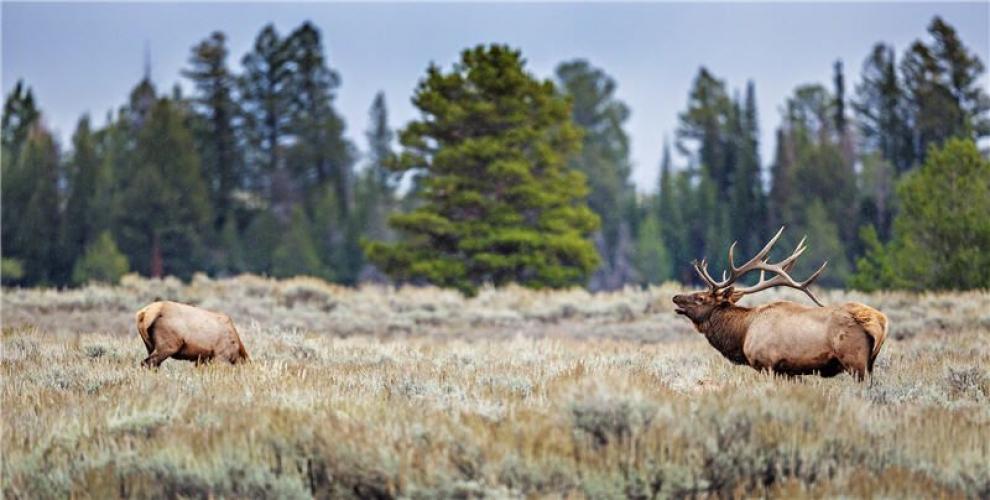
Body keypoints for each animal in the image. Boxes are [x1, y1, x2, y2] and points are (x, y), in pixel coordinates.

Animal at [672, 227, 887, 381]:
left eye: (701, 298)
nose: (675, 297)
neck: (742, 333)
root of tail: (880, 323)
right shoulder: (788, 372)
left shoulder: (766, 363)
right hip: (870, 363)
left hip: (854, 360)